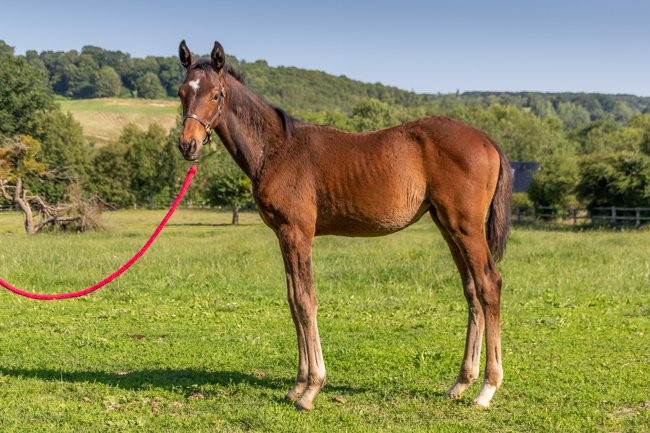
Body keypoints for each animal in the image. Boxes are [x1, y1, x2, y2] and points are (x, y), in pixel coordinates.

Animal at [176, 40, 512, 411]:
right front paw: (297, 385)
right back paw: (461, 383)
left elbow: (306, 300)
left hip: (466, 227)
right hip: (448, 226)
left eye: (216, 94)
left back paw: (487, 389)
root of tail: (487, 140)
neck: (276, 149)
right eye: (182, 93)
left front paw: (311, 389)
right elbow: (293, 300)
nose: (187, 145)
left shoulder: (298, 233)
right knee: (472, 290)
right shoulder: (283, 234)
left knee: (489, 283)